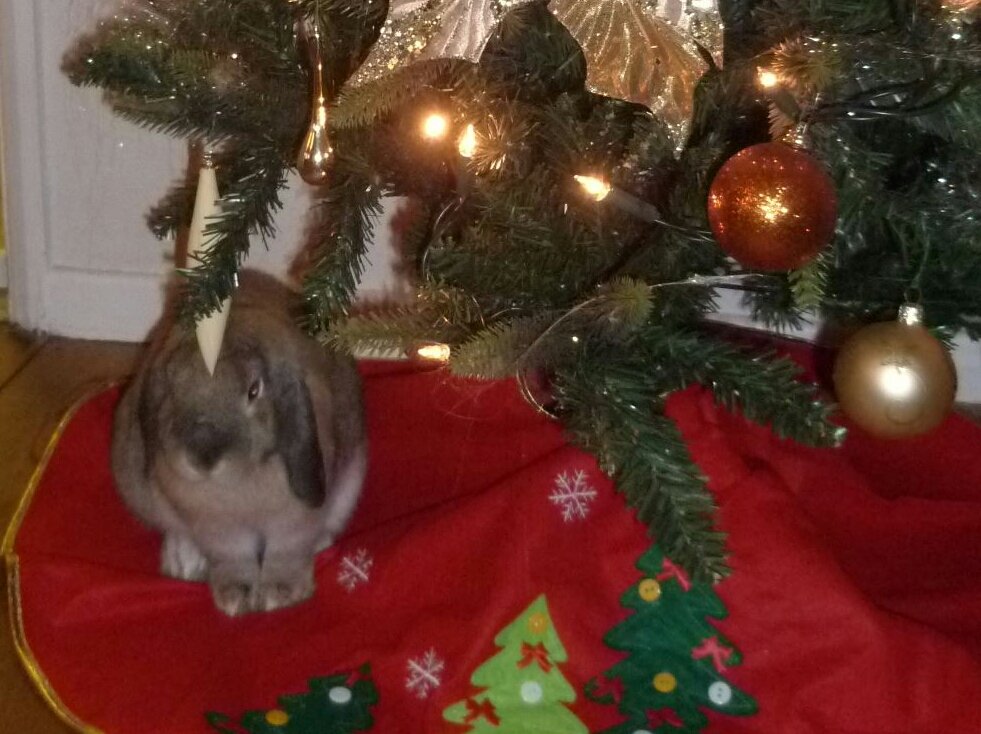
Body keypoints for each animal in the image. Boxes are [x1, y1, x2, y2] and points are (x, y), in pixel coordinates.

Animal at [111, 270, 367, 616]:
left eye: (254, 390)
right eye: (173, 389)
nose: (202, 456)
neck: (238, 487)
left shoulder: (294, 524)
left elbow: (287, 552)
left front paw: (280, 594)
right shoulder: (219, 532)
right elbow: (233, 560)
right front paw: (235, 598)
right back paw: (183, 562)